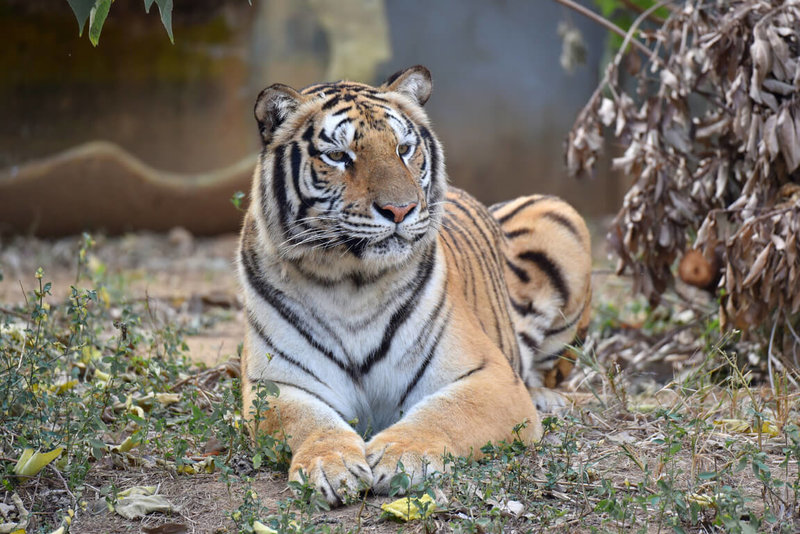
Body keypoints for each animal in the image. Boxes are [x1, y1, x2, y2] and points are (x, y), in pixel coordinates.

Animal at [234, 65, 592, 504]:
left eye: (403, 149)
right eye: (338, 156)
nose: (400, 209)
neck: (350, 282)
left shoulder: (489, 375)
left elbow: (446, 413)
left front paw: (401, 455)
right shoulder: (275, 383)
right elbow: (307, 421)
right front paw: (329, 464)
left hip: (561, 217)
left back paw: (546, 398)